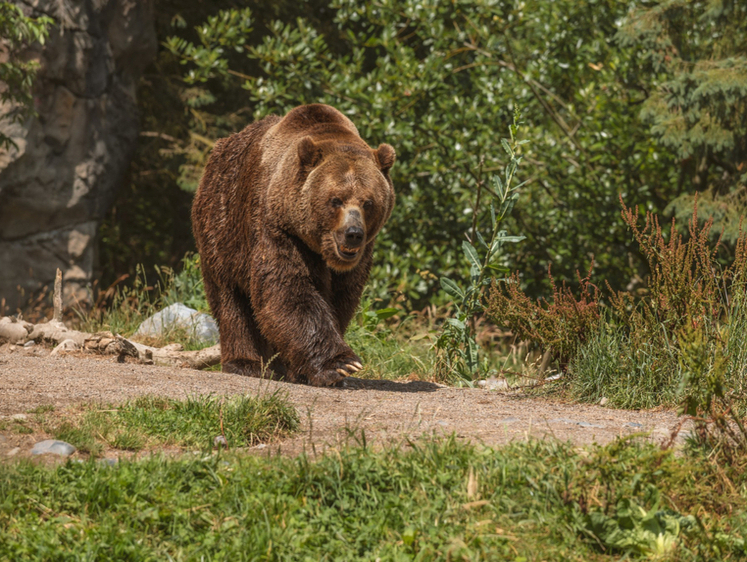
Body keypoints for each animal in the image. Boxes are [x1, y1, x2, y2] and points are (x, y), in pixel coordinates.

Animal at [193, 104, 398, 384]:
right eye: (336, 200)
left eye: (368, 202)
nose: (353, 233)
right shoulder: (279, 228)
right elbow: (288, 290)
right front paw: (340, 364)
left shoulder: (357, 259)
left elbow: (341, 298)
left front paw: (306, 369)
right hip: (222, 227)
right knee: (231, 300)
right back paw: (245, 363)